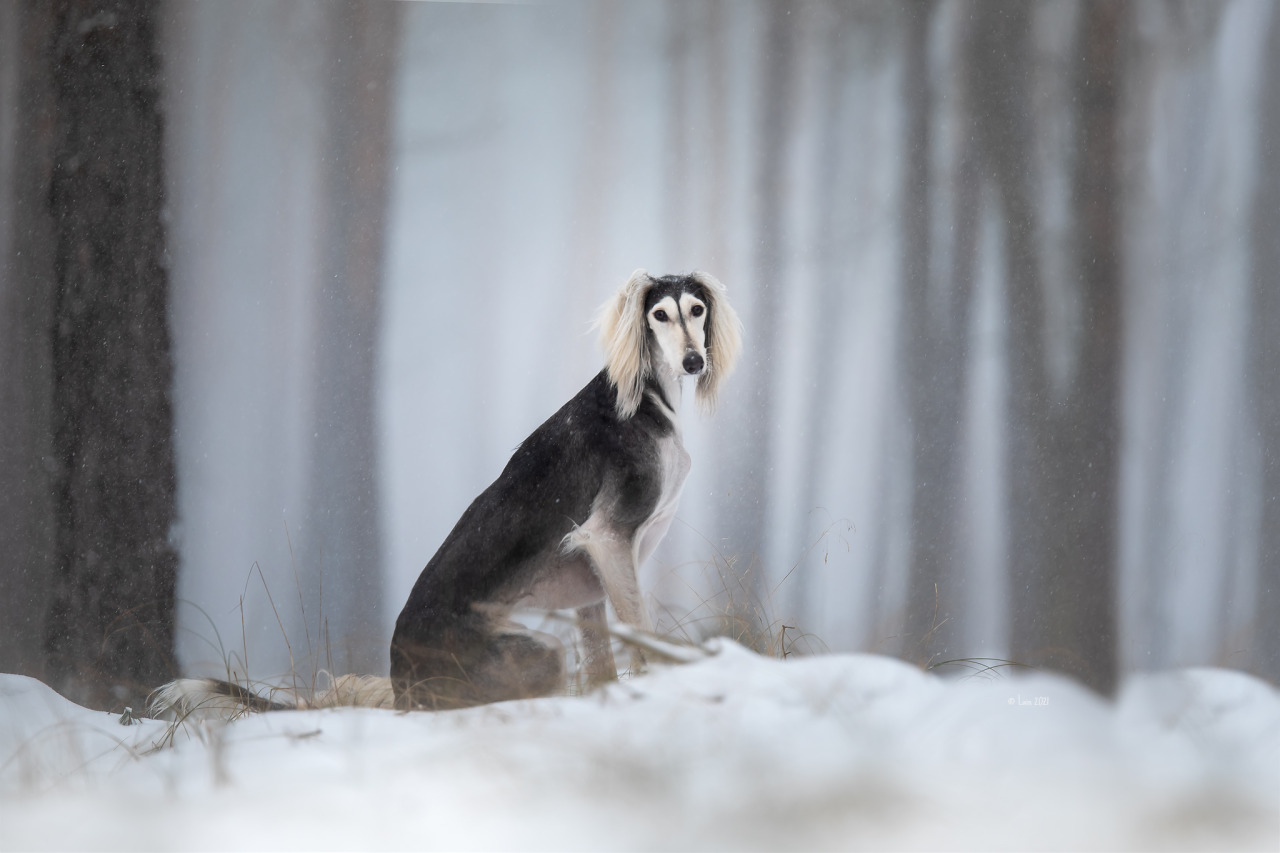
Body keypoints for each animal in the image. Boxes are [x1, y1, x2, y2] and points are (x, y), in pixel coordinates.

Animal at [152, 267, 742, 717]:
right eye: (659, 315)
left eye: (697, 310)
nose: (694, 362)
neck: (645, 400)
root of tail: (403, 684)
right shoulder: (609, 538)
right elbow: (642, 633)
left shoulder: (590, 580)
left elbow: (603, 663)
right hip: (534, 651)